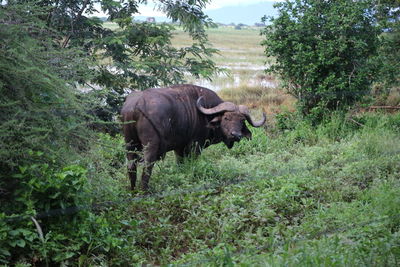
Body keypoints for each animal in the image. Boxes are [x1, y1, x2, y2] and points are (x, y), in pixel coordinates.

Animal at [122, 84, 266, 191]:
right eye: (226, 118)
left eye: (242, 120)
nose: (236, 135)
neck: (206, 113)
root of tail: (136, 104)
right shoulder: (196, 145)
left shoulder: (179, 147)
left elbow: (180, 164)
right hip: (150, 146)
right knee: (147, 166)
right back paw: (144, 190)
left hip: (129, 144)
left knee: (131, 166)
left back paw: (133, 189)